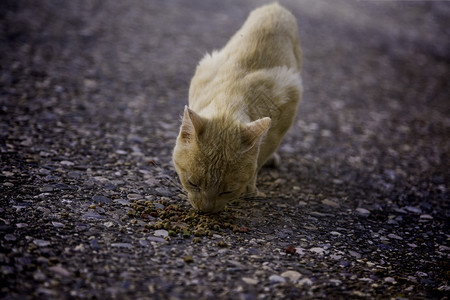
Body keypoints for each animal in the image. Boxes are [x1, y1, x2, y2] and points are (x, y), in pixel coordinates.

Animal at [172, 2, 302, 213]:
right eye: (193, 183)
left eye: (227, 191)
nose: (206, 210)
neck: (230, 99)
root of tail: (275, 5)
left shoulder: (288, 105)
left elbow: (262, 153)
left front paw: (250, 186)